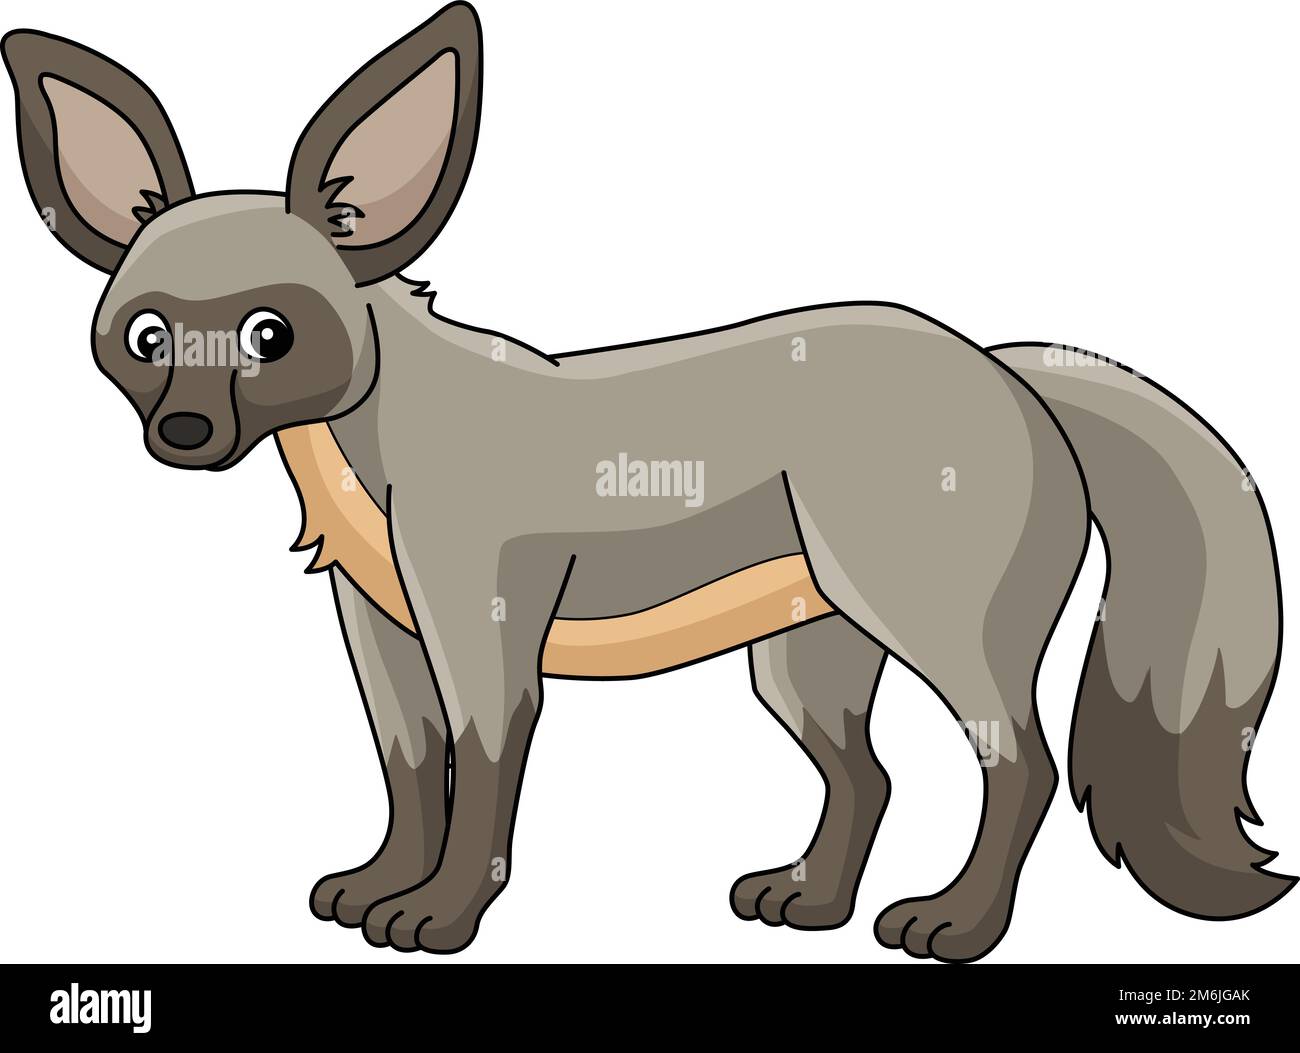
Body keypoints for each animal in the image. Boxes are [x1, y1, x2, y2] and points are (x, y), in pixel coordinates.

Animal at [3, 3, 1291, 962]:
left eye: (272, 335)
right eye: (147, 337)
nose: (181, 432)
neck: (369, 445)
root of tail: (1009, 370)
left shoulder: (484, 633)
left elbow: (481, 778)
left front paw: (440, 916)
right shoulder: (381, 632)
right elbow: (408, 769)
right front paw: (378, 886)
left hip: (931, 624)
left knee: (1016, 762)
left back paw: (956, 926)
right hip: (804, 653)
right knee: (865, 775)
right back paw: (809, 902)